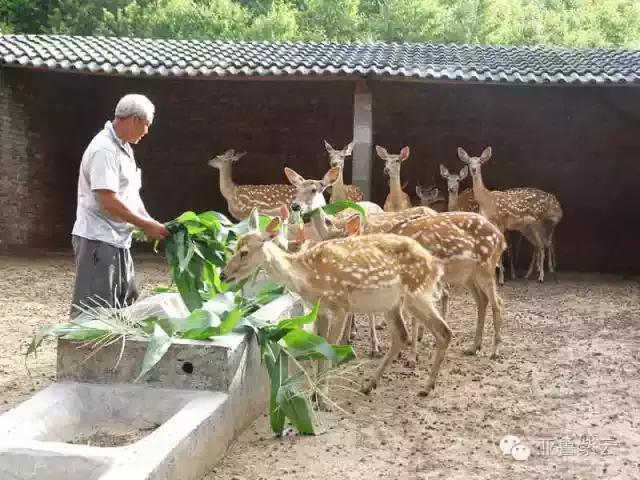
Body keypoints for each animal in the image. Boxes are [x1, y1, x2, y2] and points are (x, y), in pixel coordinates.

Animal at [220, 209, 452, 400]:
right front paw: (315, 393)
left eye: (244, 252)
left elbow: (331, 348)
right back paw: (369, 385)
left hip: (416, 293)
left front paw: (323, 397)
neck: (307, 277)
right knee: (402, 335)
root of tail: (435, 265)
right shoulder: (321, 311)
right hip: (392, 303)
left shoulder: (340, 306)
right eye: (234, 246)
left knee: (444, 331)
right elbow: (320, 347)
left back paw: (426, 387)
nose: (222, 274)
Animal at [457, 147, 563, 283]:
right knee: (540, 245)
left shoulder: (501, 221)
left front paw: (501, 279)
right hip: (527, 227)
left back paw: (542, 276)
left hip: (539, 221)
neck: (487, 200)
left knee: (543, 245)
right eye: (468, 162)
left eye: (480, 162)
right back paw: (534, 274)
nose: (474, 169)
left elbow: (502, 247)